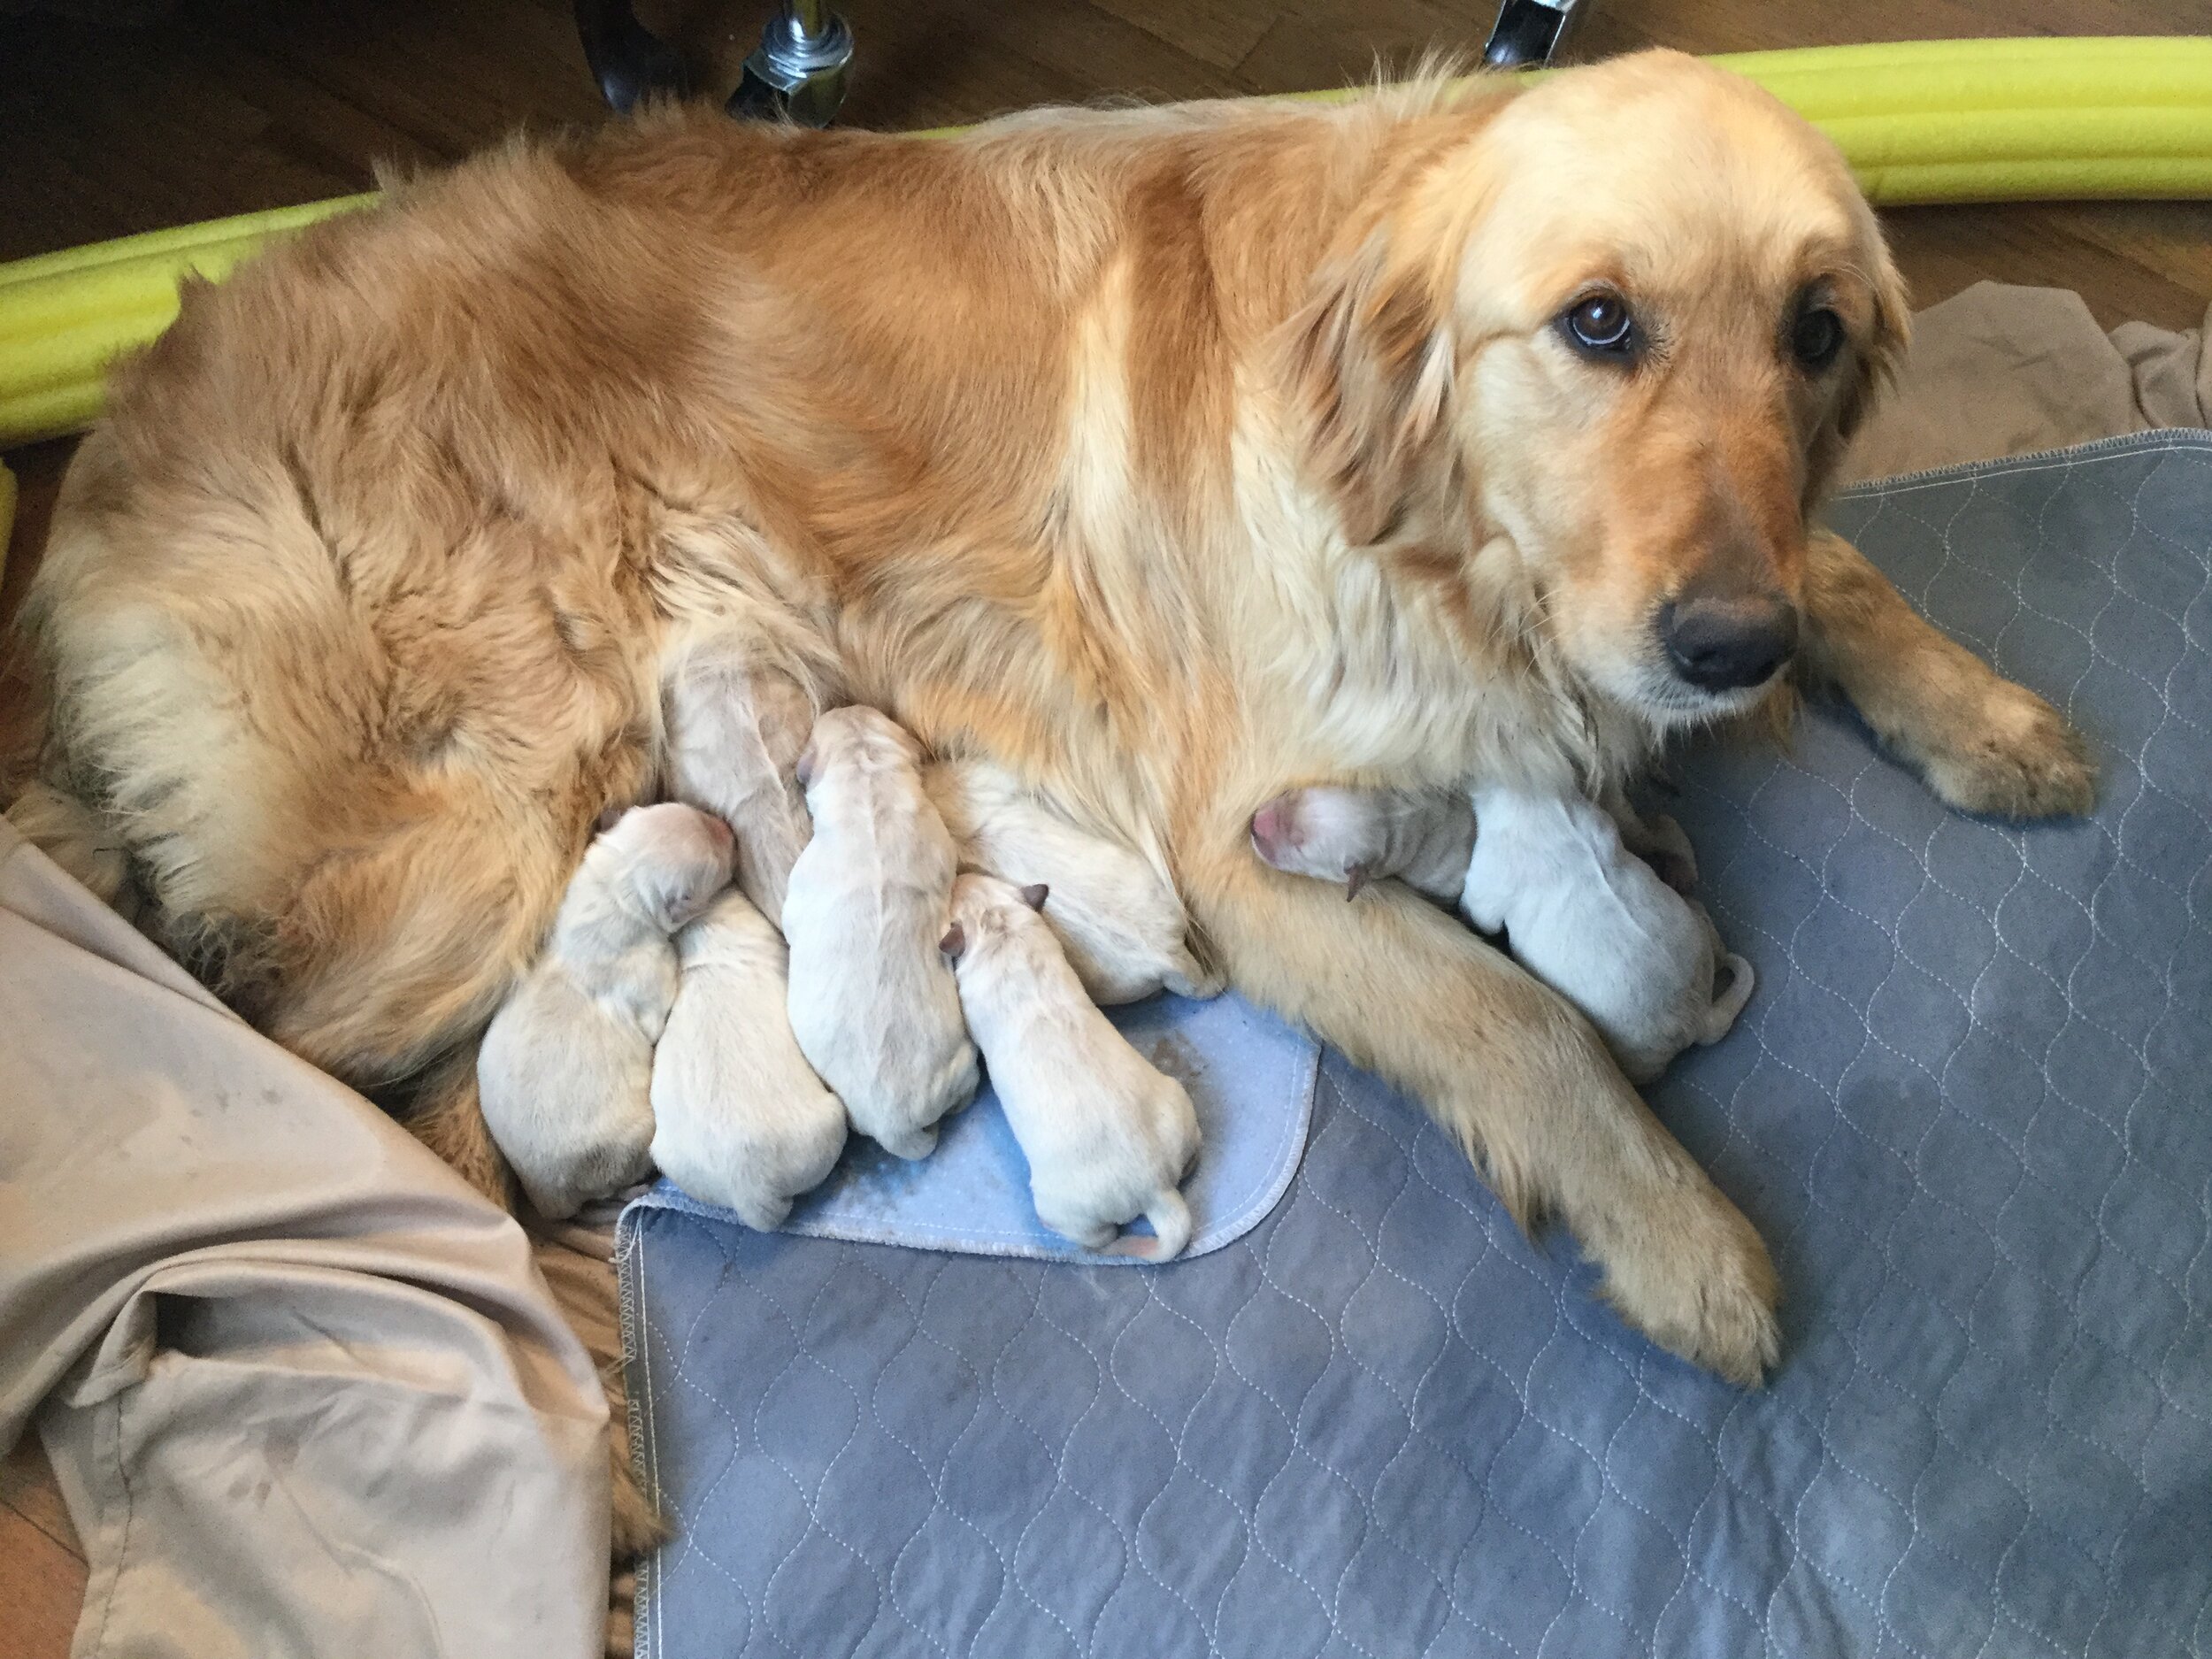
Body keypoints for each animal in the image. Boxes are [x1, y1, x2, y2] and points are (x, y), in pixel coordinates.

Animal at [476, 803, 733, 1219]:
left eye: (693, 810)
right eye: (715, 865)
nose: (728, 829)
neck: (616, 888)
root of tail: (547, 1199)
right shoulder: (649, 980)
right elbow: (656, 1017)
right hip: (627, 1143)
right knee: (609, 1190)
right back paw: (635, 1189)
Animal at [944, 874, 1200, 1258]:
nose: (960, 875)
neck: (1001, 933)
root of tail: (1157, 1190)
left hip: (1062, 1208)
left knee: (1100, 1239)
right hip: (1177, 1101)